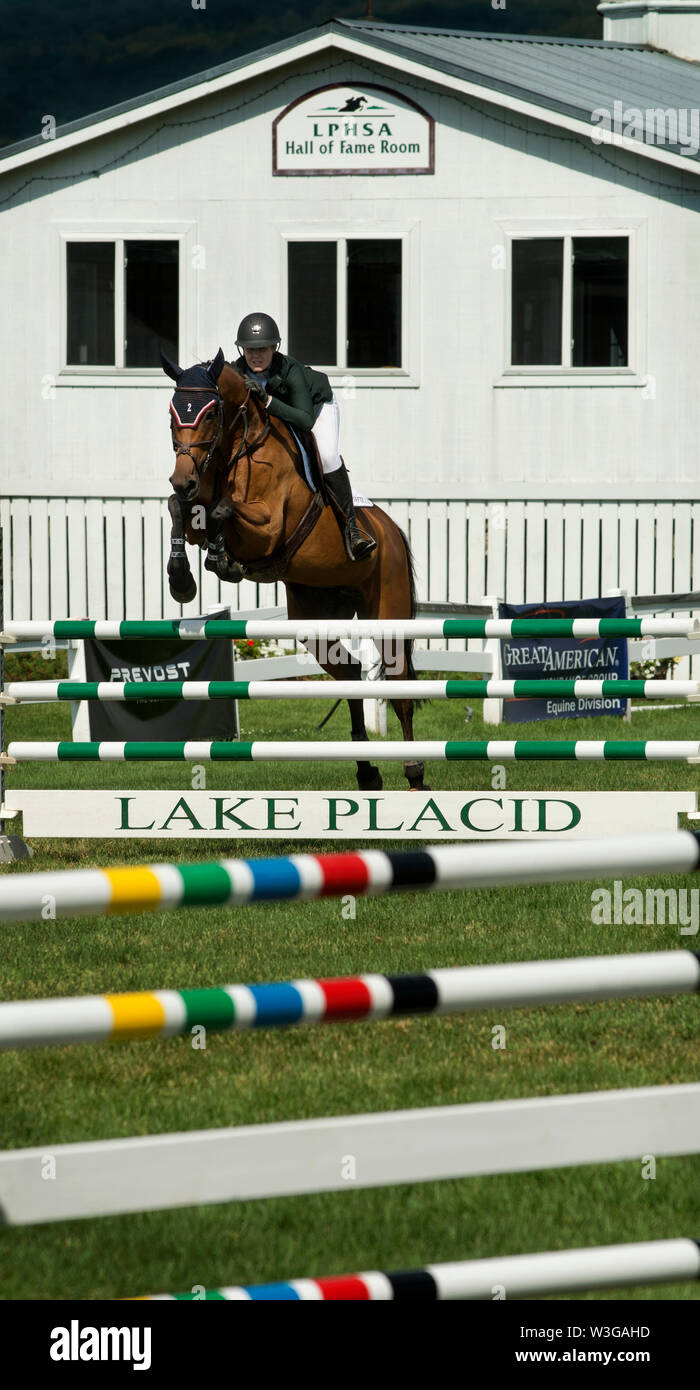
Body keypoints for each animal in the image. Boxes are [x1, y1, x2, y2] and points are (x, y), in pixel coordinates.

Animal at [162, 348, 427, 793]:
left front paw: (222, 558)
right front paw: (182, 579)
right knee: (350, 672)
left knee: (401, 684)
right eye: (172, 412)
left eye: (211, 412)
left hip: (386, 610)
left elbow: (223, 509)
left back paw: (415, 771)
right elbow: (182, 509)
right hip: (314, 618)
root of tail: (390, 530)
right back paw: (367, 772)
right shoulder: (196, 502)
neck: (239, 447)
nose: (182, 478)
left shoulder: (268, 528)